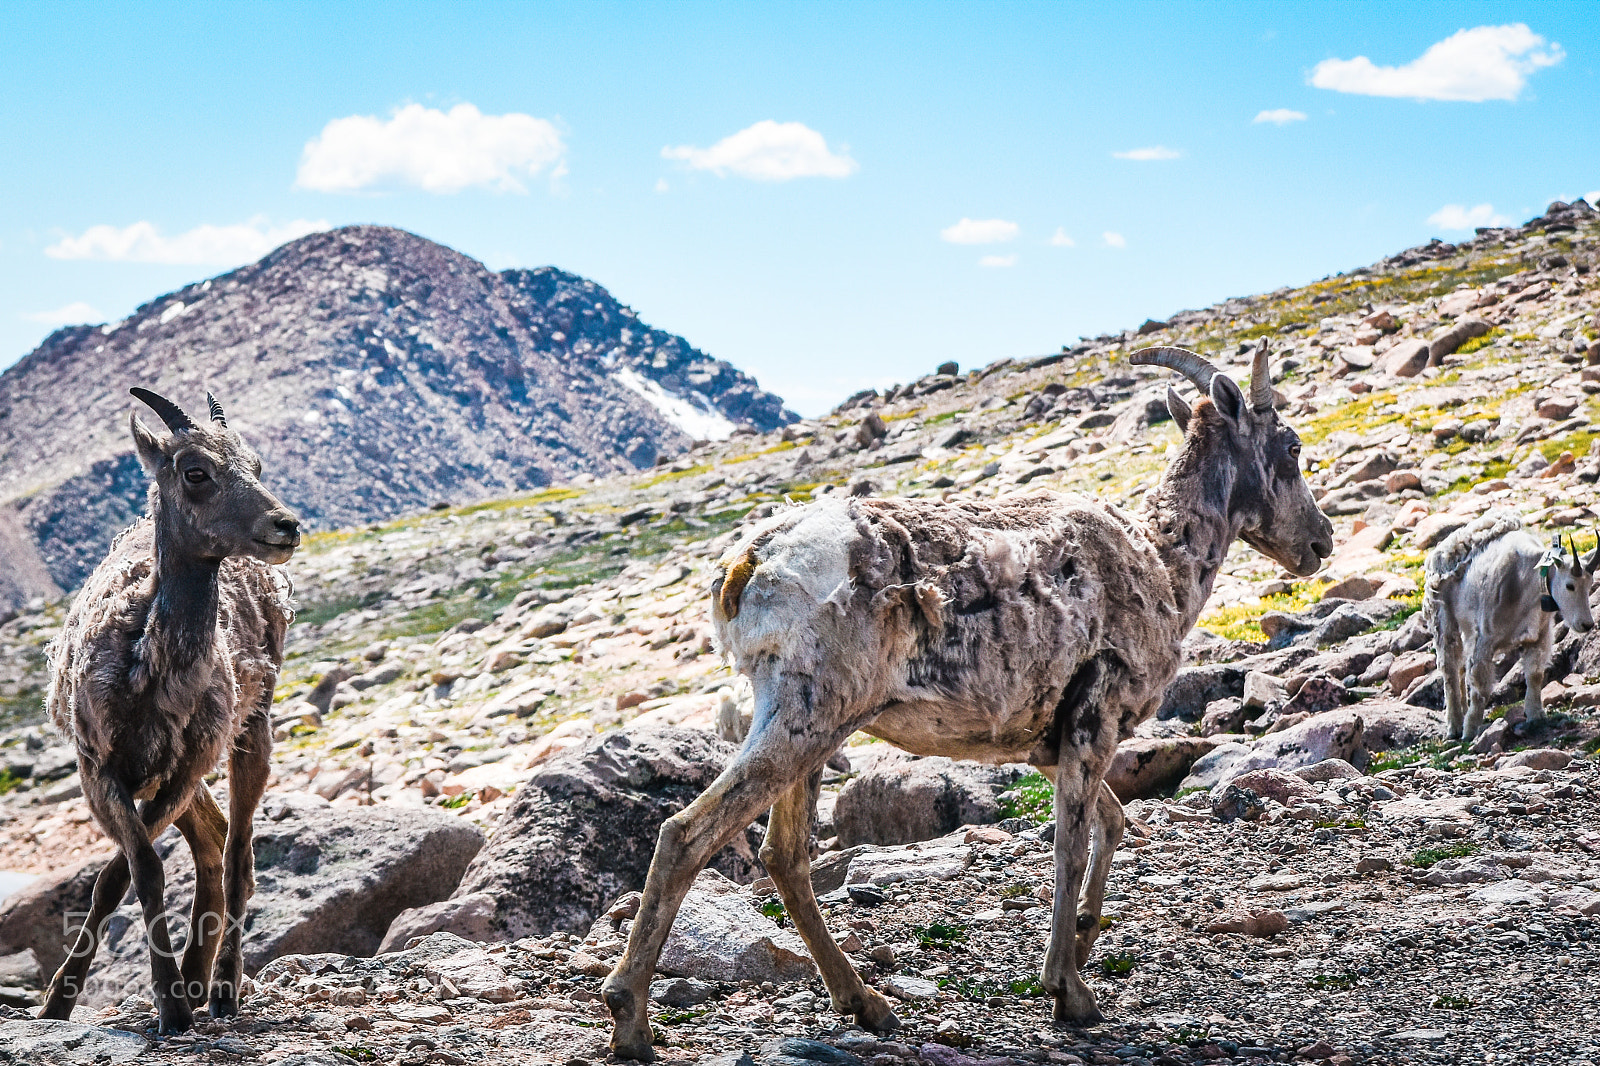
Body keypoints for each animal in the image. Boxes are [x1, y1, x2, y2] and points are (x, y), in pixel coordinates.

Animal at [40, 389, 299, 1034]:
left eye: (256, 465)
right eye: (195, 472)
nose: (285, 526)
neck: (147, 669)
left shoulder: (182, 769)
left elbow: (122, 873)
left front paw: (172, 1004)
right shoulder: (101, 771)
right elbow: (136, 872)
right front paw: (60, 1000)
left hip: (248, 734)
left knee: (236, 856)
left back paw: (223, 987)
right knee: (212, 841)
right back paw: (196, 976)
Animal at [601, 343, 1334, 1059]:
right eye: (1291, 447)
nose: (1319, 543)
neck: (1165, 566)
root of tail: (745, 570)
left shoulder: (1049, 740)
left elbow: (1113, 822)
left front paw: (1084, 940)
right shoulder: (1096, 714)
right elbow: (1070, 844)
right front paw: (1070, 993)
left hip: (806, 723)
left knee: (783, 855)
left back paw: (867, 1005)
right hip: (811, 713)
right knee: (687, 834)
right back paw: (631, 1022)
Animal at [1424, 509, 1596, 742]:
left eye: (1589, 585)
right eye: (1570, 585)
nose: (1586, 624)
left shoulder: (1538, 636)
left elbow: (1534, 675)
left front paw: (1536, 716)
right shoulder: (1485, 639)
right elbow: (1480, 685)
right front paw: (1470, 730)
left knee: (1458, 667)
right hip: (1443, 616)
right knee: (1449, 666)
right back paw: (1455, 727)